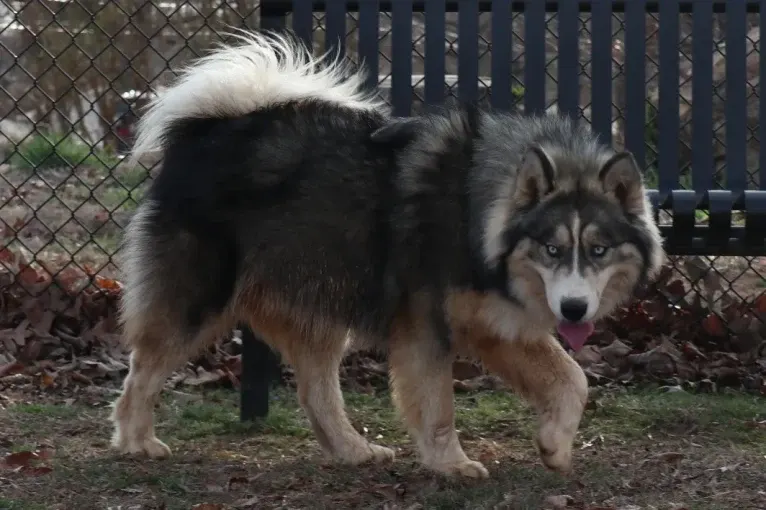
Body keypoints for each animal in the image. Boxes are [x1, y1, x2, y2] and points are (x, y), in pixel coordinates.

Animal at [111, 30, 668, 478]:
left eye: (598, 250)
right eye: (552, 249)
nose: (574, 310)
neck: (476, 207)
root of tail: (210, 126)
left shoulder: (498, 325)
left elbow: (573, 379)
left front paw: (554, 445)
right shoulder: (425, 326)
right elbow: (438, 405)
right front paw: (451, 463)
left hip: (321, 297)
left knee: (316, 392)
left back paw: (352, 450)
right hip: (198, 300)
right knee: (144, 369)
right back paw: (136, 440)